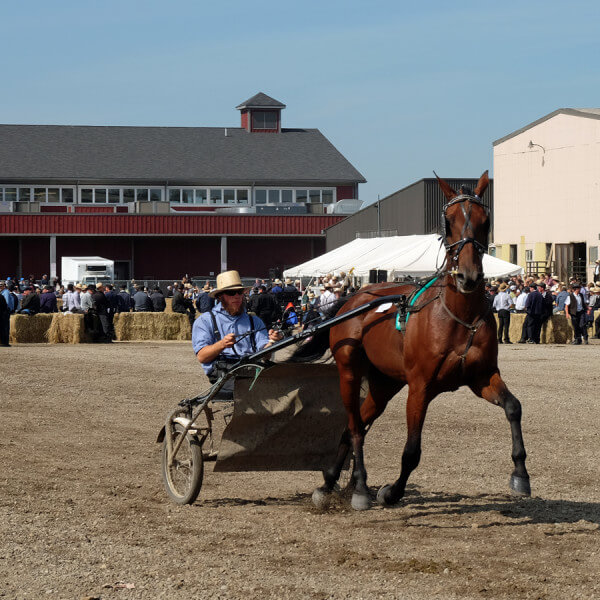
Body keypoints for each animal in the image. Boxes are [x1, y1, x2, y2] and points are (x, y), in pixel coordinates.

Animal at [290, 172, 528, 510]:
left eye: (486, 219)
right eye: (448, 221)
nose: (468, 276)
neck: (458, 315)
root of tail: (356, 297)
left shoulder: (481, 377)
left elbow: (513, 407)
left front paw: (520, 473)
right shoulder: (420, 386)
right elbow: (412, 450)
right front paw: (392, 491)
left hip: (384, 383)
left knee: (354, 425)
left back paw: (330, 481)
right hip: (349, 371)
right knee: (354, 426)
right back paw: (358, 487)